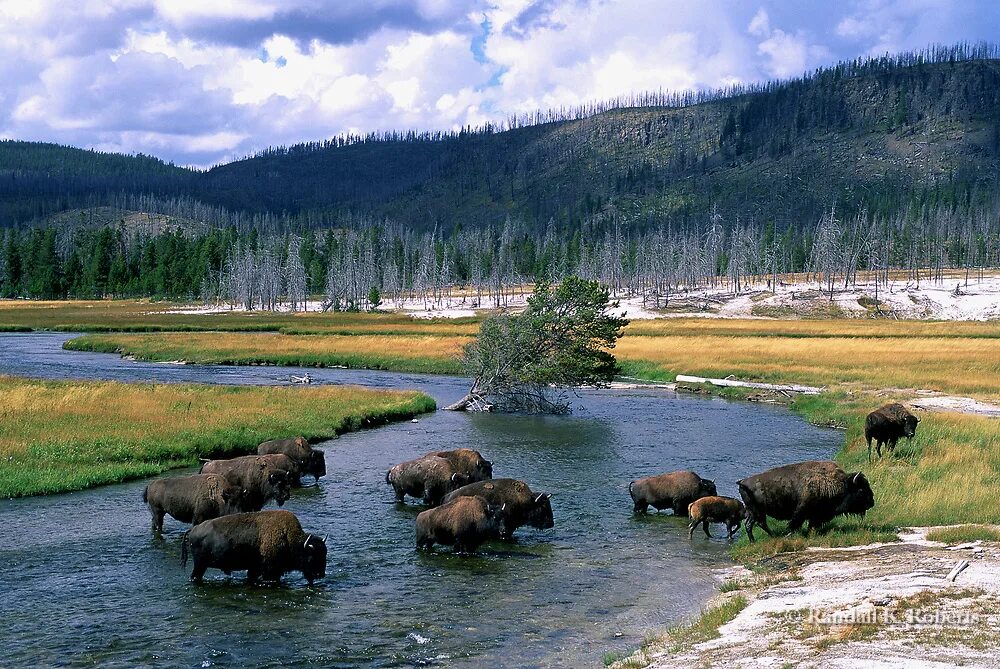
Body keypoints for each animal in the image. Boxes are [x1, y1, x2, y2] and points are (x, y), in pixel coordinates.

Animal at [180, 508, 328, 580]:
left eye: (324, 555)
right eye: (311, 556)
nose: (320, 574)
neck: (289, 538)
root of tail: (193, 529)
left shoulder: (255, 569)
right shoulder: (270, 571)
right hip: (200, 565)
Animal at [736, 460, 876, 544]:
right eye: (861, 490)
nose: (872, 503)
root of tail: (743, 482)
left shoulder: (816, 515)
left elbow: (811, 523)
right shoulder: (802, 510)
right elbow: (795, 522)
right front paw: (791, 534)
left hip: (753, 511)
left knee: (751, 524)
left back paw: (759, 539)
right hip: (757, 511)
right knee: (758, 523)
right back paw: (772, 537)